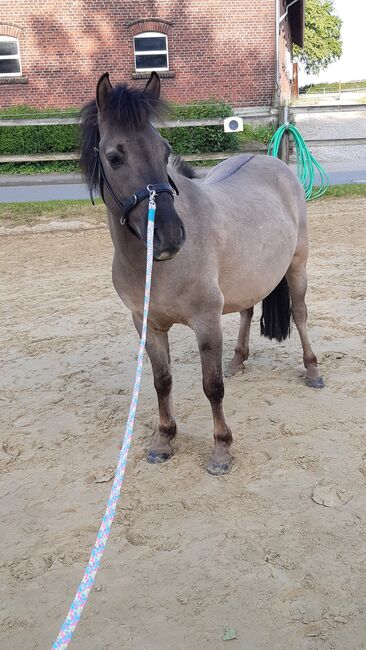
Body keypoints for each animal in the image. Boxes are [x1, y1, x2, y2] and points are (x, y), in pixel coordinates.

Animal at [79, 72, 324, 476]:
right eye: (114, 157)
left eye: (165, 151)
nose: (170, 237)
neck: (154, 265)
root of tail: (272, 162)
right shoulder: (147, 325)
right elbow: (162, 381)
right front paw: (164, 440)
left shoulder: (207, 322)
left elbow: (212, 387)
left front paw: (222, 449)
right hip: (247, 279)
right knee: (247, 312)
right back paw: (238, 361)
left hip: (297, 267)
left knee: (301, 315)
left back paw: (313, 370)